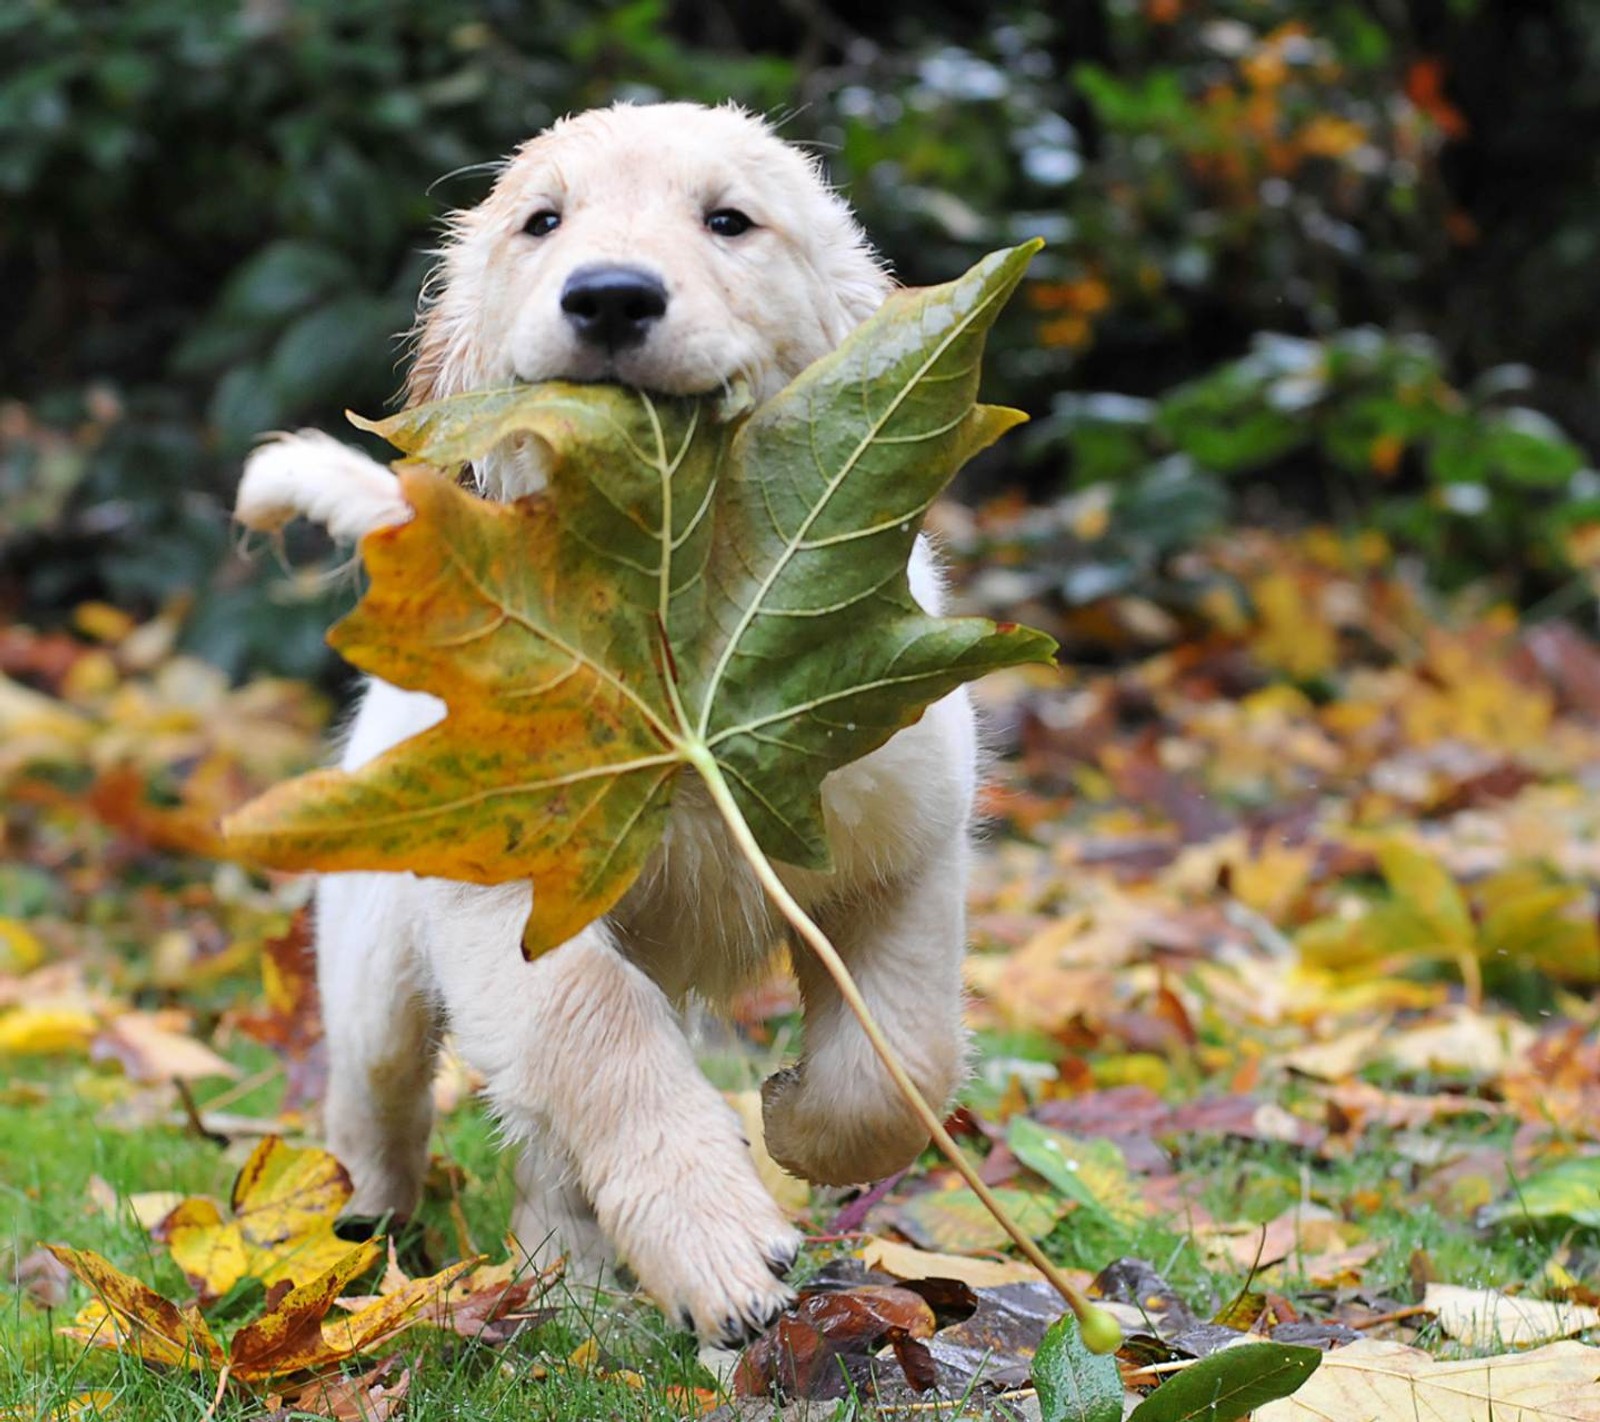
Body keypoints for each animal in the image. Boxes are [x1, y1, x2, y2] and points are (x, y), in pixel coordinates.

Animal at [236, 102, 972, 1343]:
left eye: (729, 221)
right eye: (543, 221)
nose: (613, 297)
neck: (671, 615)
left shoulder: (904, 846)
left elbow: (901, 1058)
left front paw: (797, 1124)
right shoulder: (509, 900)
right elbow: (600, 1033)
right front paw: (717, 1241)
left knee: (543, 1153)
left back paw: (569, 1287)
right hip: (375, 957)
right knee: (381, 1104)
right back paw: (367, 1242)